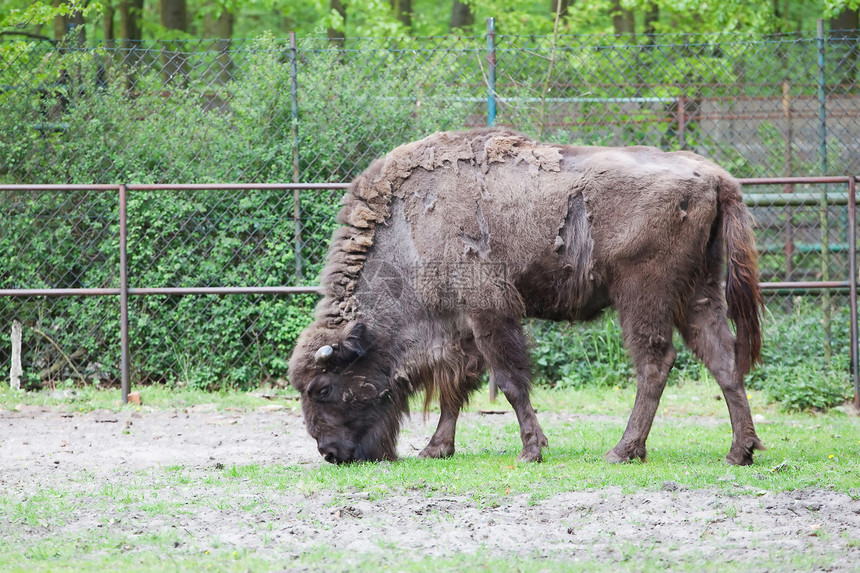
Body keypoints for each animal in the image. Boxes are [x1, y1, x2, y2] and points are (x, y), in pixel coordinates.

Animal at [290, 128, 764, 464]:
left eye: (322, 389)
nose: (330, 453)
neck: (410, 230)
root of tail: (717, 178)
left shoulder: (489, 312)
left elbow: (511, 382)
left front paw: (531, 450)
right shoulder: (462, 328)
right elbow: (455, 390)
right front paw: (435, 449)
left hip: (643, 296)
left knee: (655, 362)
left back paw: (622, 451)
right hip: (699, 293)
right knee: (723, 358)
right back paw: (740, 451)